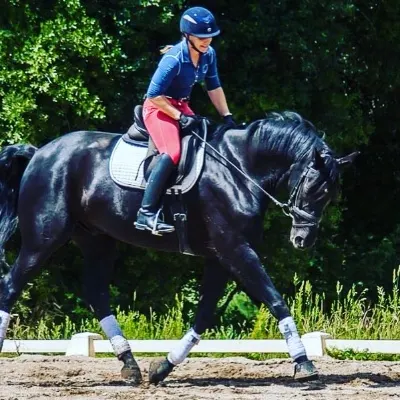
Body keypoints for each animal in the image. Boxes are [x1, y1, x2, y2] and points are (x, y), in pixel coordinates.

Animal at [0, 111, 356, 384]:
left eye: (331, 195)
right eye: (313, 187)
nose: (303, 240)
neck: (239, 168)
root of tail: (40, 153)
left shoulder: (220, 257)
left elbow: (205, 314)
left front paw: (163, 367)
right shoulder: (235, 249)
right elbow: (275, 299)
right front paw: (304, 363)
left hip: (97, 240)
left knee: (96, 294)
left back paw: (131, 366)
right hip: (44, 238)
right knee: (11, 285)